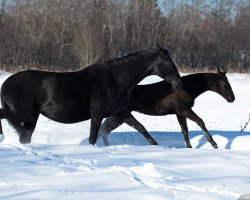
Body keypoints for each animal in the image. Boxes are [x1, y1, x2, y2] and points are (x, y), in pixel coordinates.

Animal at [0, 45, 182, 145]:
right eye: (168, 62)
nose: (178, 84)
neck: (114, 80)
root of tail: (5, 83)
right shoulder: (97, 114)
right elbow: (93, 138)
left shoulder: (121, 113)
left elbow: (142, 128)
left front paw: (156, 145)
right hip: (25, 113)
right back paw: (2, 137)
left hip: (32, 118)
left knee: (24, 137)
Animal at [97, 68, 234, 148]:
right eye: (224, 83)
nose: (232, 98)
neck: (189, 88)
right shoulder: (184, 110)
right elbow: (200, 121)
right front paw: (213, 143)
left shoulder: (179, 113)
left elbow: (185, 131)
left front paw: (189, 147)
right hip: (122, 115)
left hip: (118, 117)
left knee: (104, 130)